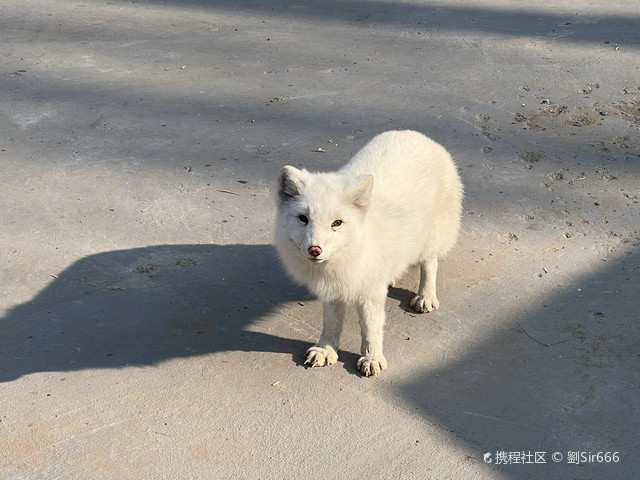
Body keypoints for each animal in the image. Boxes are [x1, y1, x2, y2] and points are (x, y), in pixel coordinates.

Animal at [272, 129, 462, 376]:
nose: (315, 249)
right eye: (303, 218)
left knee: (430, 263)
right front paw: (326, 348)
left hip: (431, 237)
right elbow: (331, 324)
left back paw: (426, 296)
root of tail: (417, 134)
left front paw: (372, 358)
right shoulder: (332, 292)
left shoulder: (371, 294)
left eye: (337, 223)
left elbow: (371, 328)